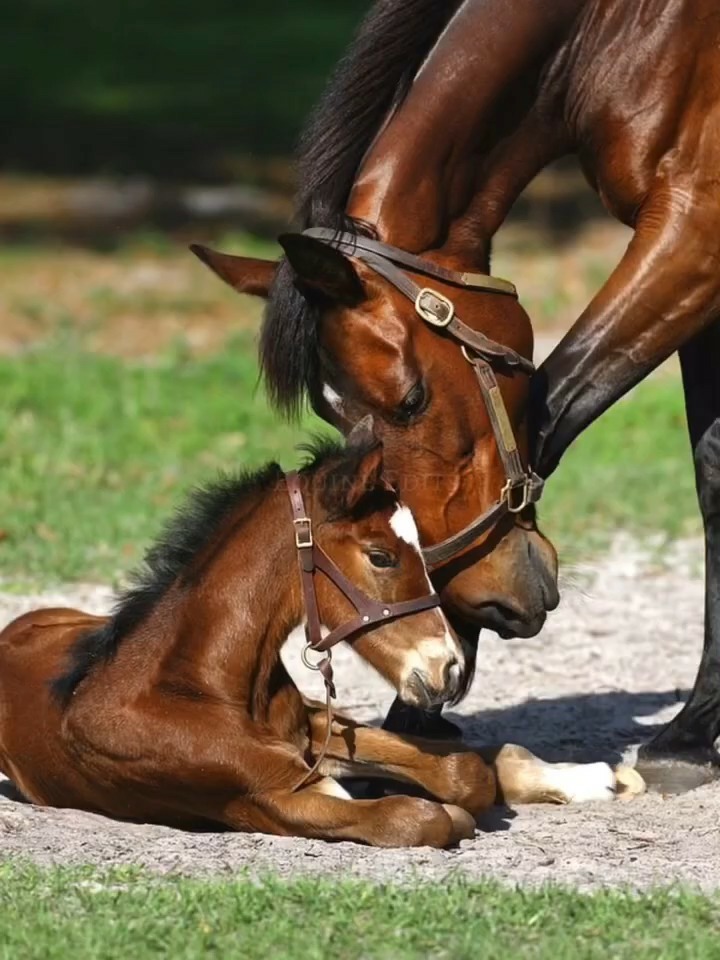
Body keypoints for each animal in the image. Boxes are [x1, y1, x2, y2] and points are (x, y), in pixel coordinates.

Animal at [0, 424, 640, 844]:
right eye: (381, 556)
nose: (450, 669)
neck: (193, 689)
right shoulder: (263, 800)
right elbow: (421, 815)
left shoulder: (313, 728)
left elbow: (463, 771)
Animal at [194, 0, 720, 788]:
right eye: (332, 415)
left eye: (411, 400)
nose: (488, 595)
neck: (611, 31)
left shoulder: (695, 230)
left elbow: (552, 411)